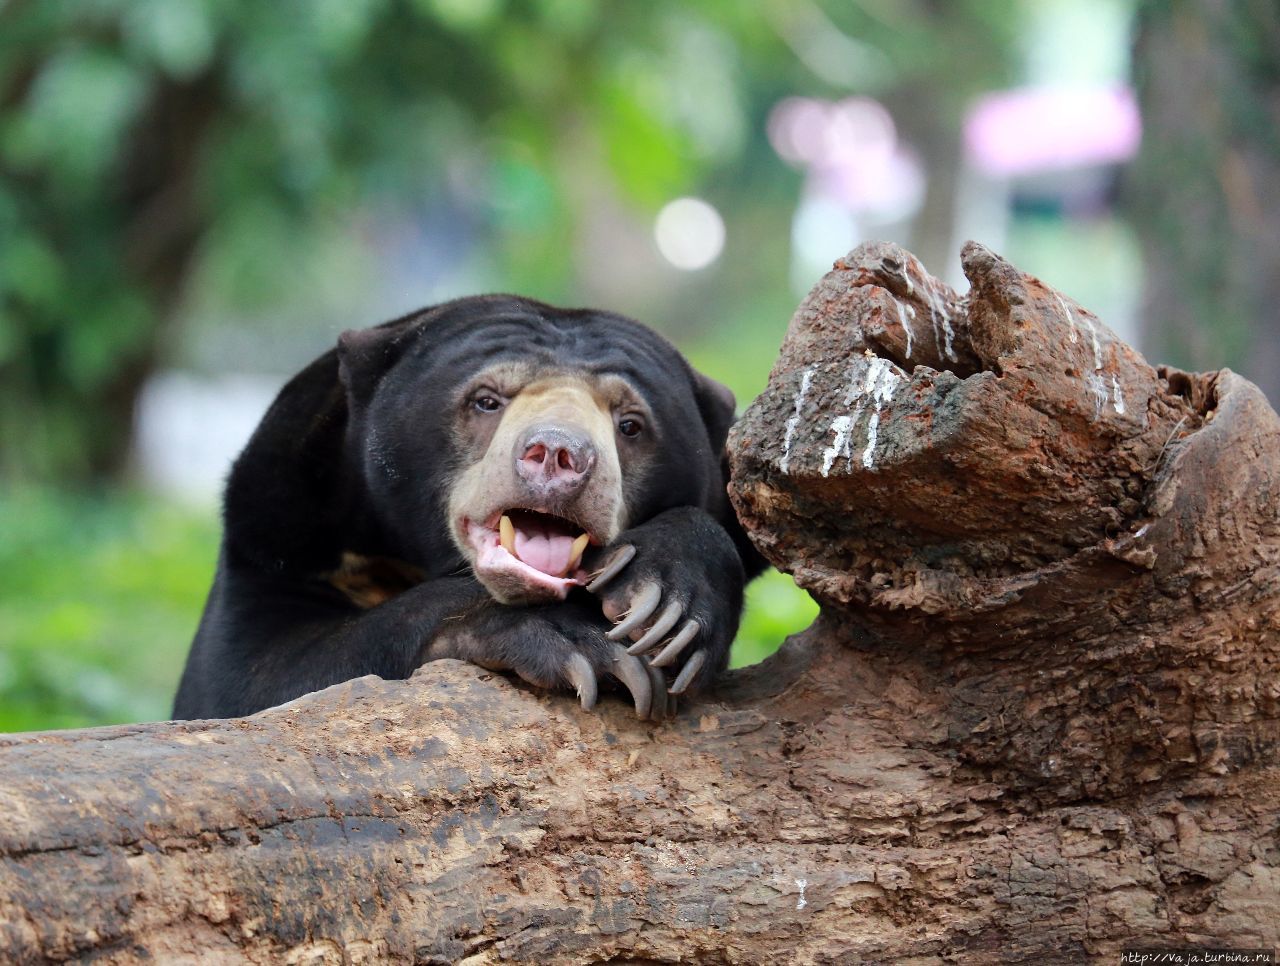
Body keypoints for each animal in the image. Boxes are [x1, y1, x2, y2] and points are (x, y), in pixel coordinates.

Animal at [175, 298, 762, 721]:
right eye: (486, 400)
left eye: (631, 424)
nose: (558, 454)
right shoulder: (275, 529)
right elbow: (248, 683)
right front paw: (583, 643)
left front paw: (665, 604)